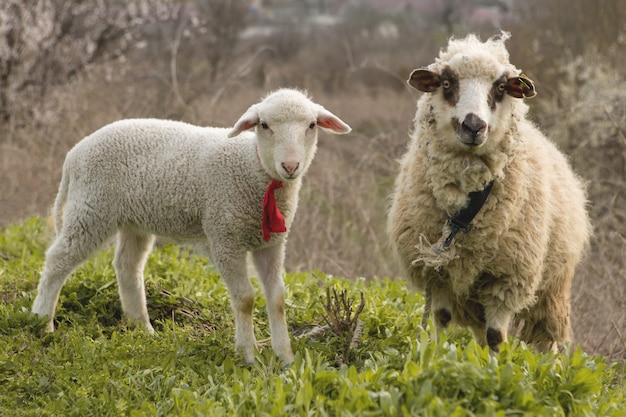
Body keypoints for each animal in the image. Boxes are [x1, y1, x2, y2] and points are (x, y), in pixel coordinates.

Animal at [30, 88, 352, 364]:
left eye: (311, 125)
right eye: (264, 125)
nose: (290, 166)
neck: (253, 168)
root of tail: (74, 154)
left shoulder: (272, 243)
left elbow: (278, 299)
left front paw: (285, 357)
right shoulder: (225, 237)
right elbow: (245, 299)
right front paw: (247, 354)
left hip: (133, 219)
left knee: (127, 266)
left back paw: (142, 328)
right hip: (91, 209)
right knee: (58, 259)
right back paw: (41, 323)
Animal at [386, 33, 588, 352]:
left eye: (501, 87)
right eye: (446, 83)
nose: (473, 126)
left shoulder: (507, 278)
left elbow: (496, 336)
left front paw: (496, 367)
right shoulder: (438, 274)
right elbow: (441, 319)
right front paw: (436, 357)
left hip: (553, 285)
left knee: (546, 335)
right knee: (480, 332)